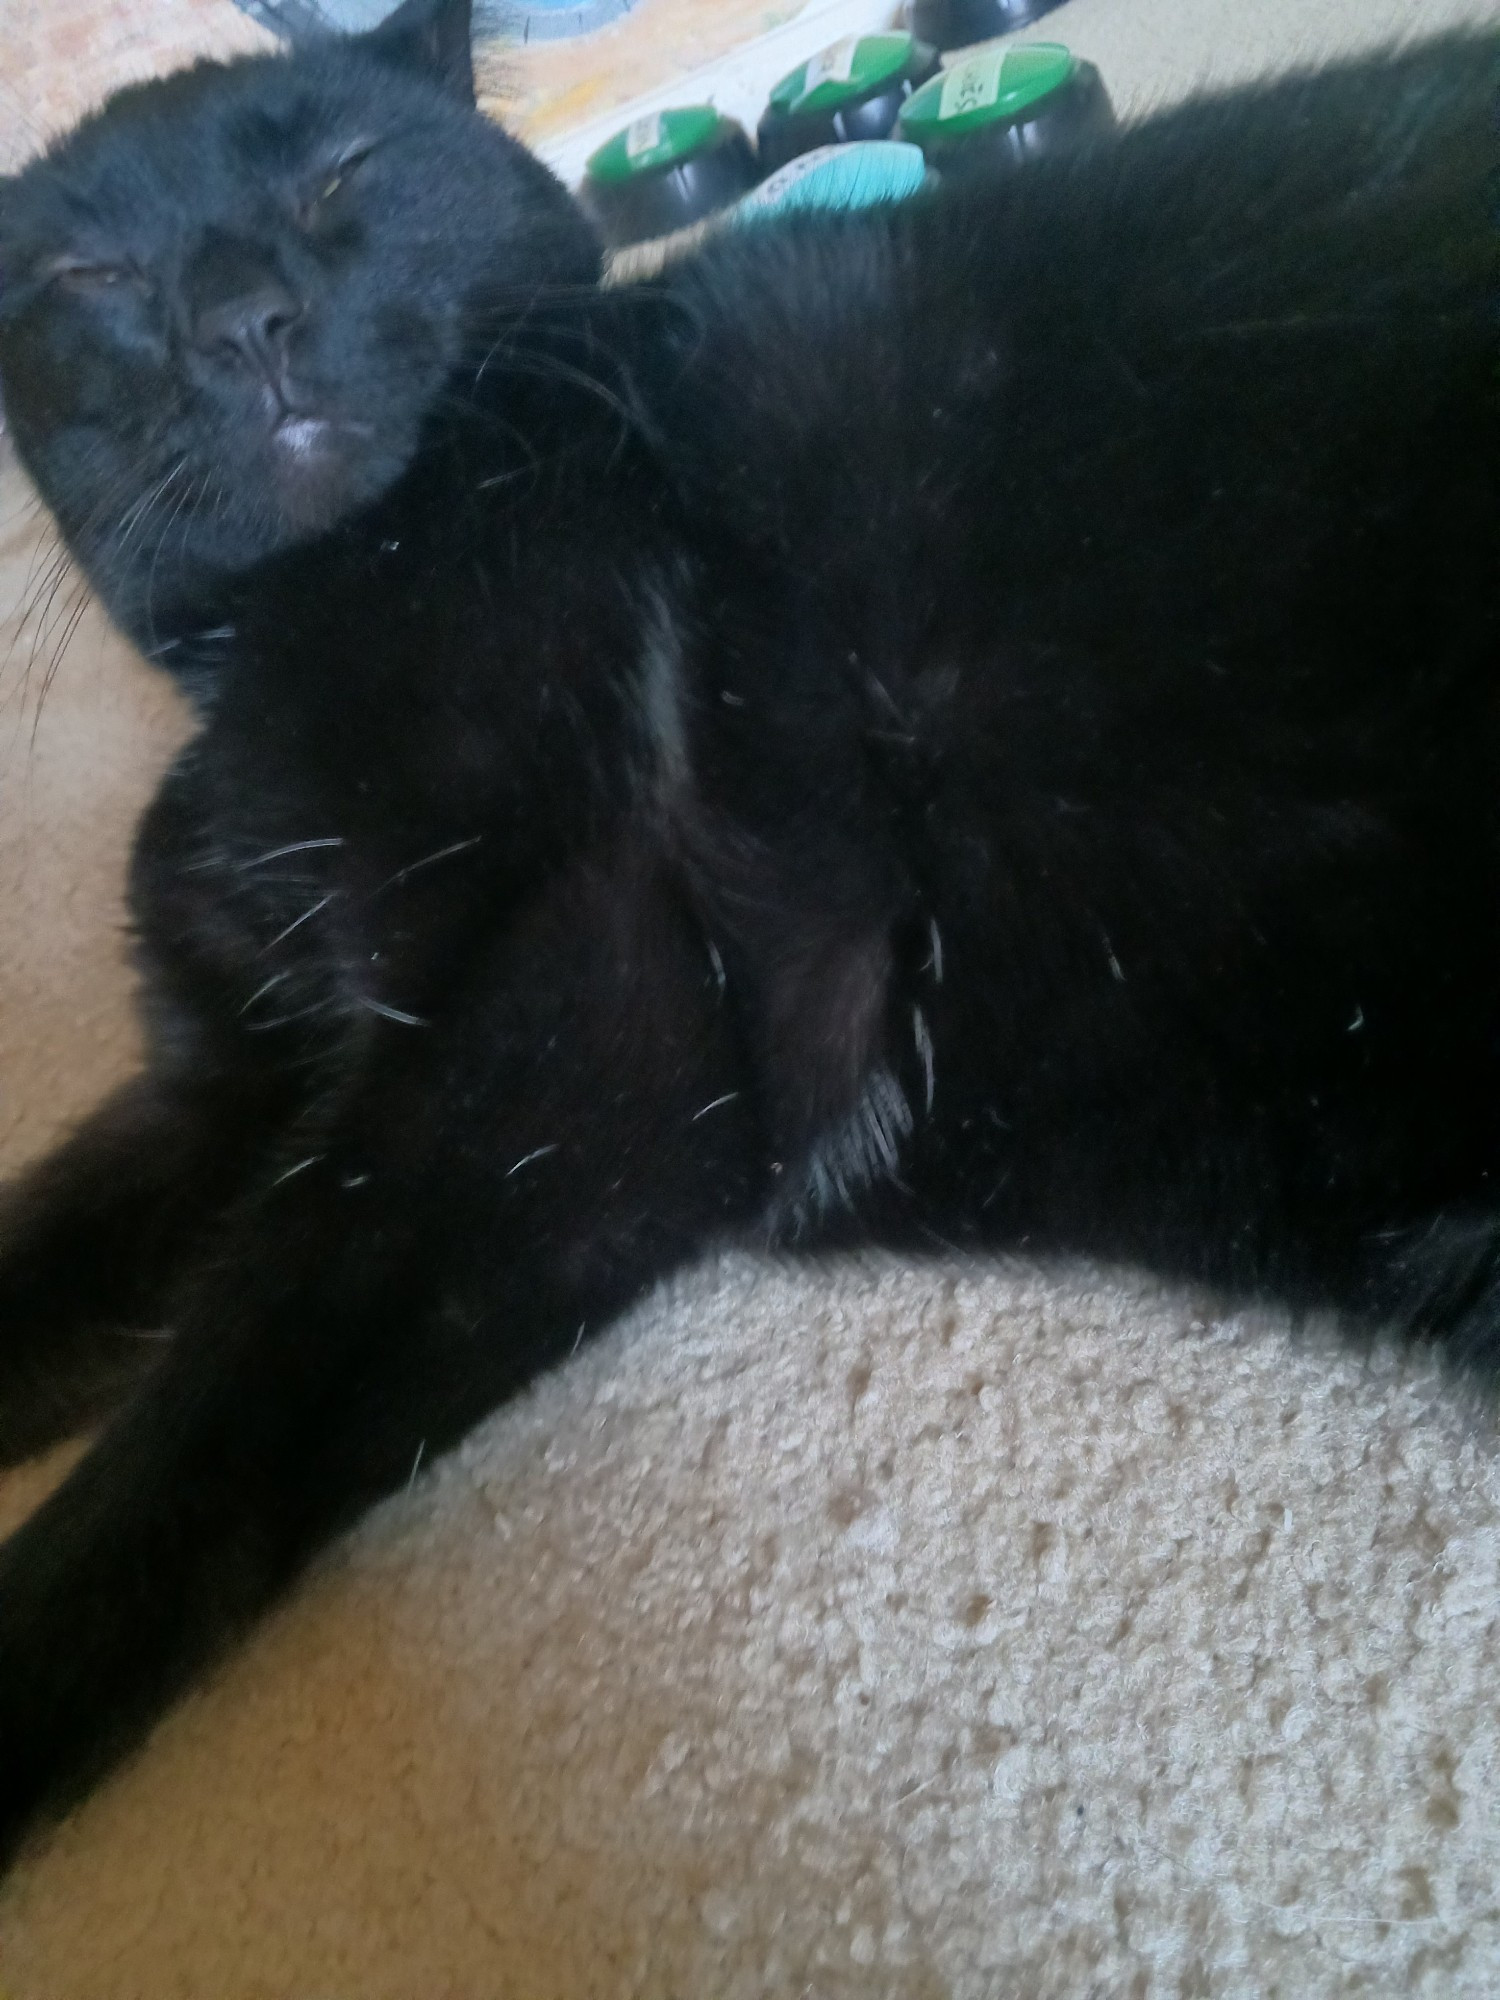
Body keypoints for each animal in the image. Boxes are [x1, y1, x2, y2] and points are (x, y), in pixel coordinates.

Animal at [0, 0, 1496, 1872]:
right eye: (89, 274)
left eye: (341, 173)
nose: (238, 319)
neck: (275, 641)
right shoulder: (224, 1089)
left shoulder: (597, 992)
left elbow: (221, 1401)